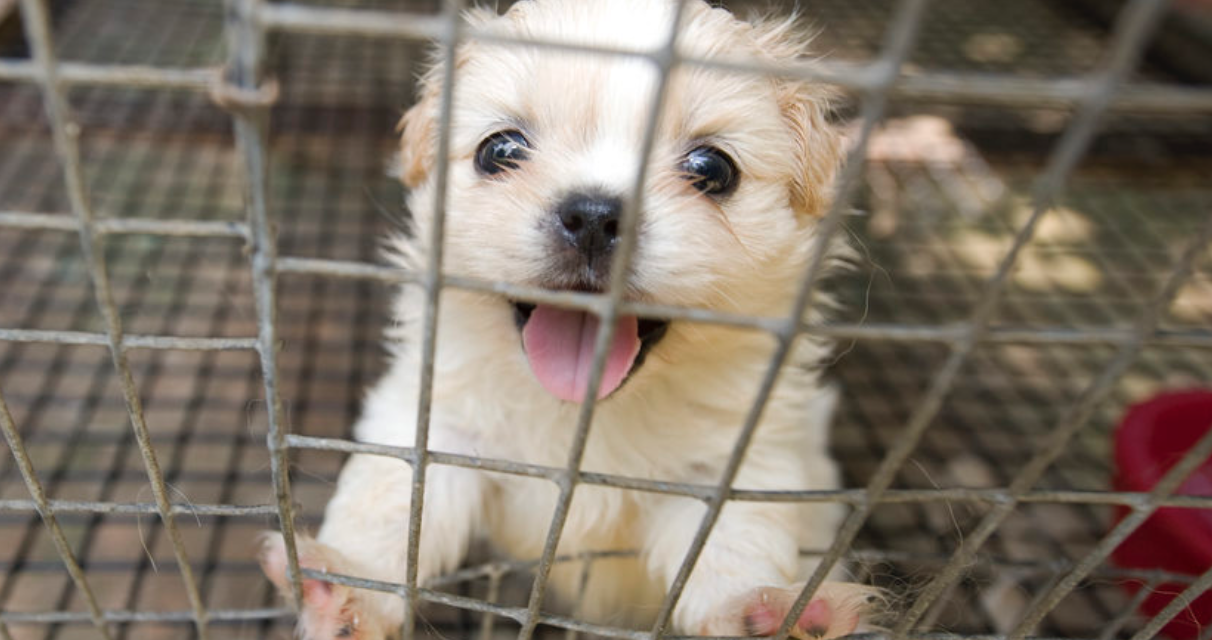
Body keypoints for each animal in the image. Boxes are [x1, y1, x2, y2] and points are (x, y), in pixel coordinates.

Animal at [260, 2, 877, 635]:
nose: (594, 215)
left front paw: (768, 614)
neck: (584, 417)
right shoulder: (440, 426)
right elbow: (392, 508)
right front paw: (346, 586)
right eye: (500, 151)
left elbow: (731, 545)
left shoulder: (740, 464)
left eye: (712, 168)